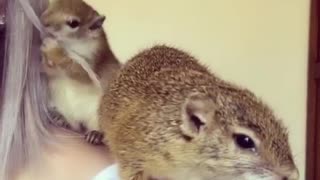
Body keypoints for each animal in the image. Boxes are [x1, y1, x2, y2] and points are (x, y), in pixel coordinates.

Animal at [40, 0, 120, 144]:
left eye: (73, 23)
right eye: (52, 4)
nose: (43, 22)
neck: (72, 44)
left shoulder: (92, 64)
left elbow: (77, 71)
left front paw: (53, 49)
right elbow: (49, 69)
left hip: (97, 117)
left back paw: (96, 134)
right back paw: (60, 118)